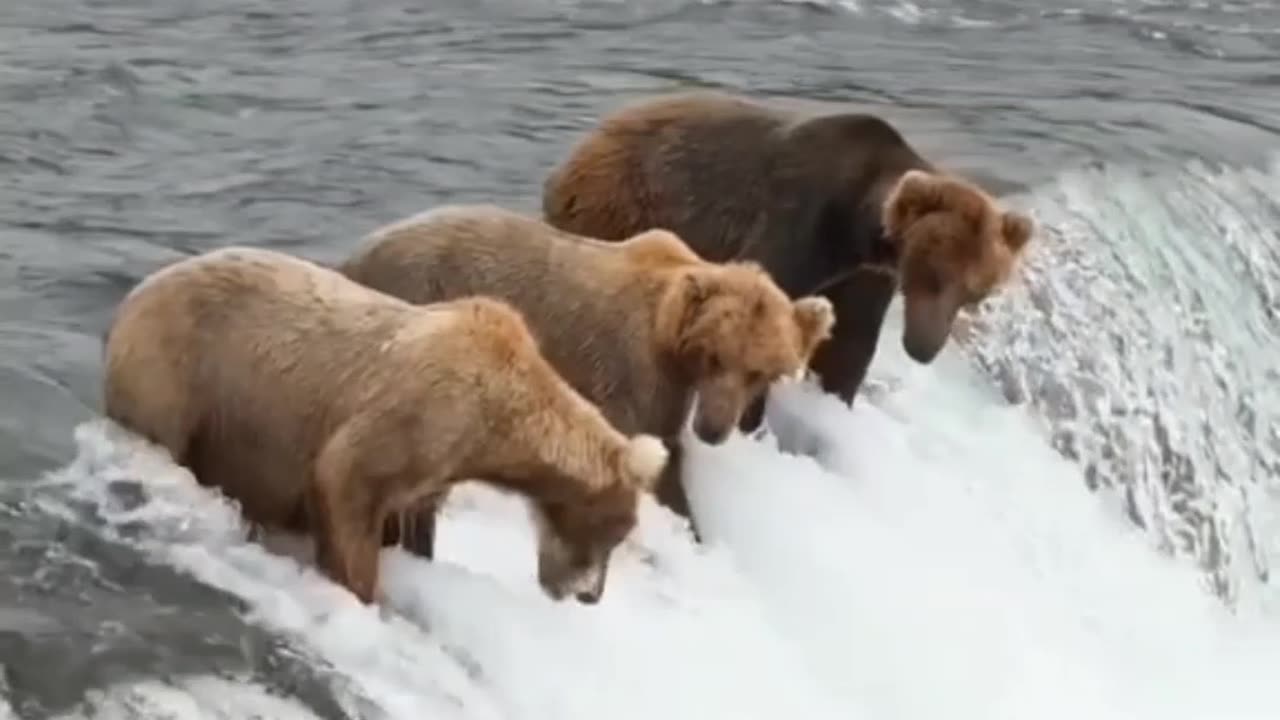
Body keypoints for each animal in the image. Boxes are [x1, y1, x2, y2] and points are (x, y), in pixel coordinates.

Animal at [99, 243, 670, 602]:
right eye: (615, 531)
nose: (589, 596)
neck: (497, 425)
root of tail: (132, 298)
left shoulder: (439, 467)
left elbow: (411, 520)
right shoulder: (421, 414)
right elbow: (347, 481)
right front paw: (359, 590)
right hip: (177, 378)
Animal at [340, 202, 834, 538]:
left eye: (759, 373)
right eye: (715, 356)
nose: (713, 429)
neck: (668, 333)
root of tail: (356, 253)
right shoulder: (631, 371)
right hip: (418, 288)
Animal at [537, 89, 1029, 425]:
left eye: (976, 292)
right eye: (931, 275)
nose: (923, 348)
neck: (854, 226)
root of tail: (583, 146)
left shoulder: (862, 277)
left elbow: (848, 348)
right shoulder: (795, 222)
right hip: (621, 207)